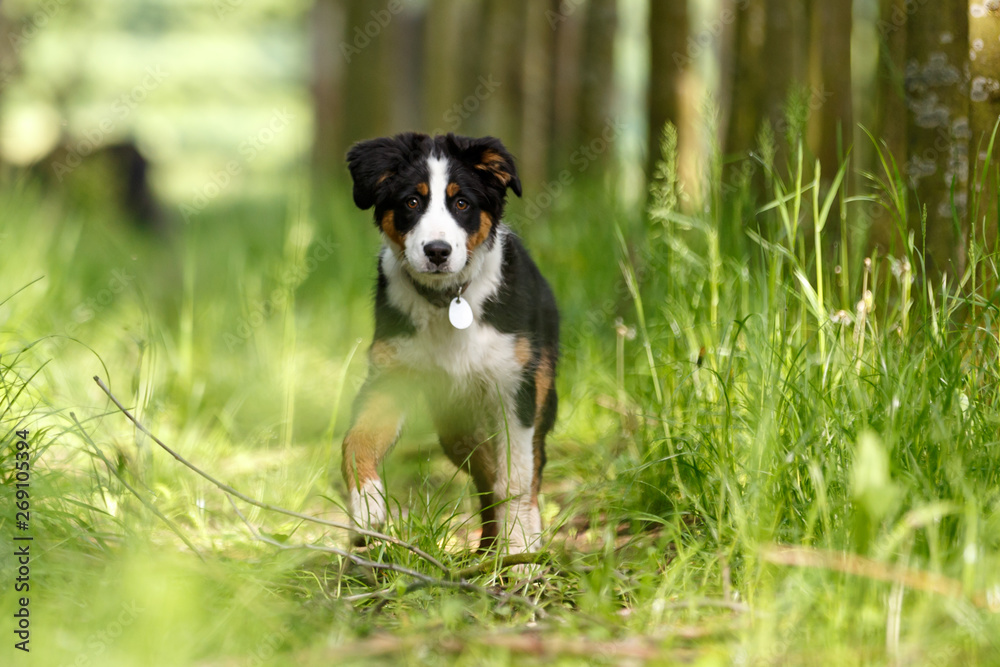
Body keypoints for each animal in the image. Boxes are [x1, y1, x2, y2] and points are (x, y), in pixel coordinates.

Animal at [342, 133, 564, 556]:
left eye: (462, 203)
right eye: (412, 202)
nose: (437, 251)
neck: (447, 300)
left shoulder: (514, 388)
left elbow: (516, 478)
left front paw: (520, 553)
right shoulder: (390, 376)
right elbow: (356, 439)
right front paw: (367, 506)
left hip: (538, 384)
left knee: (526, 469)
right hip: (455, 424)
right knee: (484, 472)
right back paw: (486, 551)